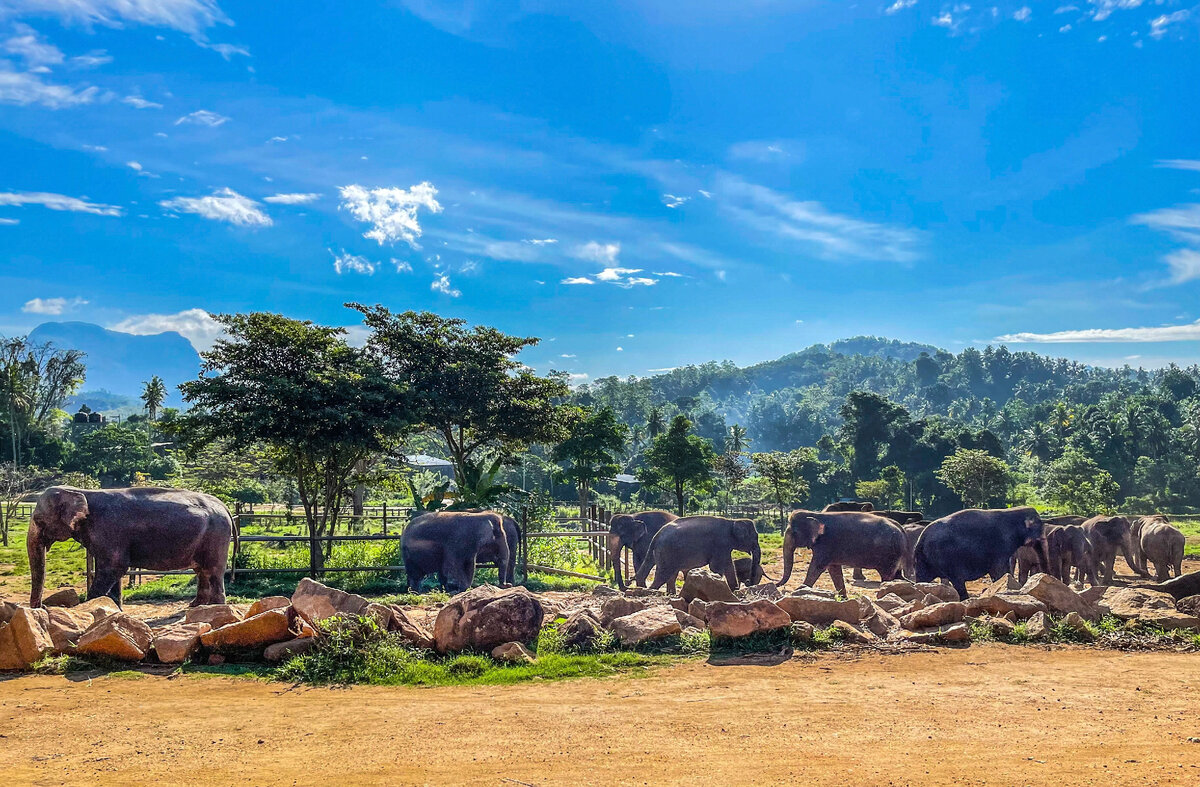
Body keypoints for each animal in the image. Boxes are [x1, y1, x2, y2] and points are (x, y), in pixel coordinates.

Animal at [28, 485, 236, 608]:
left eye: (38, 520)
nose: (43, 607)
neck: (81, 491)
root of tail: (224, 505)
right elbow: (113, 572)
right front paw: (113, 612)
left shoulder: (109, 529)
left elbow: (115, 567)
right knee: (202, 571)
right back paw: (195, 607)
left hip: (216, 535)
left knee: (213, 571)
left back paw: (216, 609)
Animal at [632, 516, 762, 595]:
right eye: (755, 538)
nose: (748, 582)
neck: (732, 521)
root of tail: (656, 536)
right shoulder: (720, 544)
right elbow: (716, 567)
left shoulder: (724, 547)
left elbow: (729, 566)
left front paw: (734, 592)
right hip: (667, 552)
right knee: (663, 575)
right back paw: (652, 591)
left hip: (663, 553)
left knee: (669, 573)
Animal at [914, 507, 1049, 601]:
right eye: (1040, 534)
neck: (1015, 511)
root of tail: (921, 540)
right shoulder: (1001, 543)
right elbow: (999, 570)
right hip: (945, 557)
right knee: (957, 579)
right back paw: (965, 599)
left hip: (924, 560)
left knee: (924, 578)